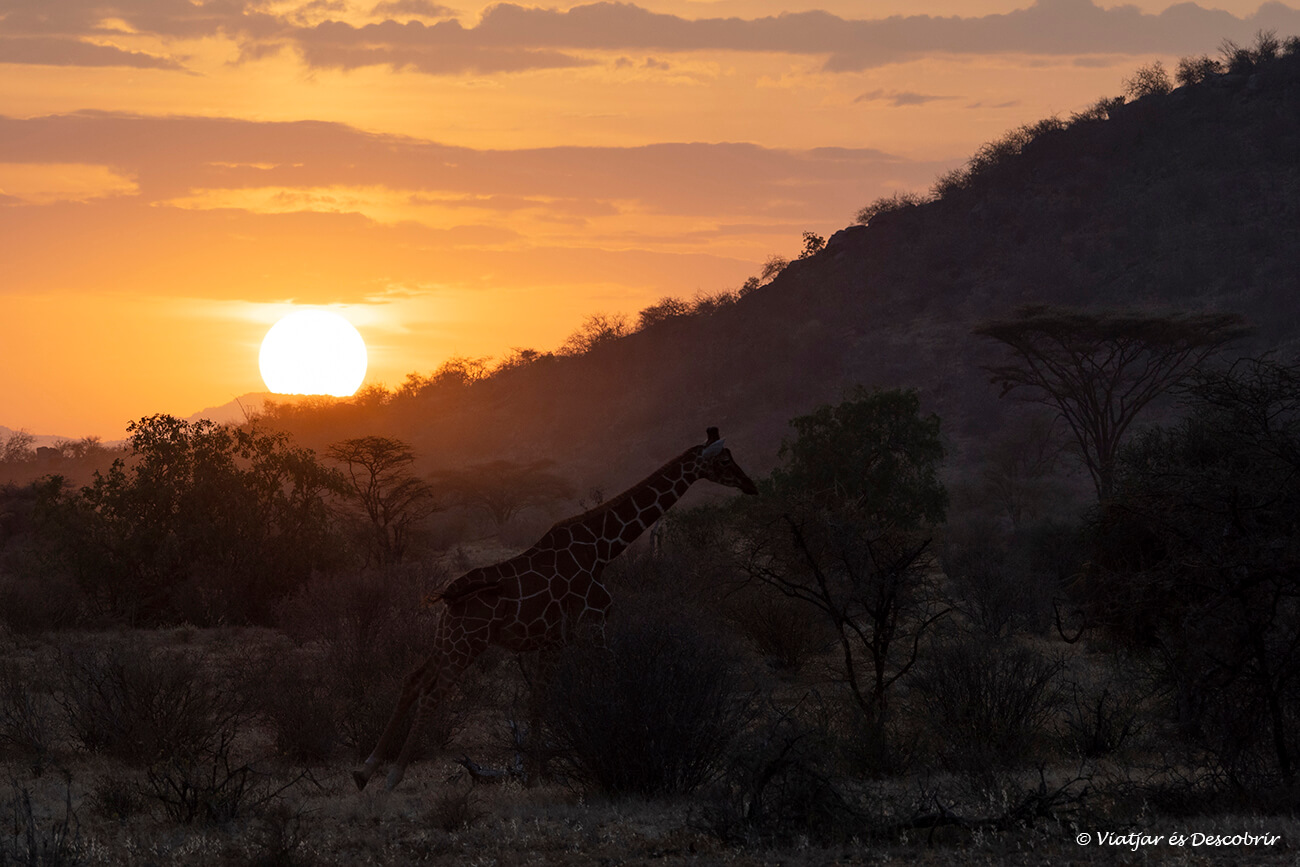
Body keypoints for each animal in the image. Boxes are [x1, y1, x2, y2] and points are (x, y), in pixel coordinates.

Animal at [352, 427, 758, 791]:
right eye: (724, 460)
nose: (750, 484)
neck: (603, 549)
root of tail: (450, 595)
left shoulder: (554, 641)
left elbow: (538, 702)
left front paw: (534, 775)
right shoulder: (591, 625)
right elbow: (605, 682)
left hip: (447, 636)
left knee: (413, 680)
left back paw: (365, 771)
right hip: (466, 643)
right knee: (432, 693)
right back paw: (392, 776)